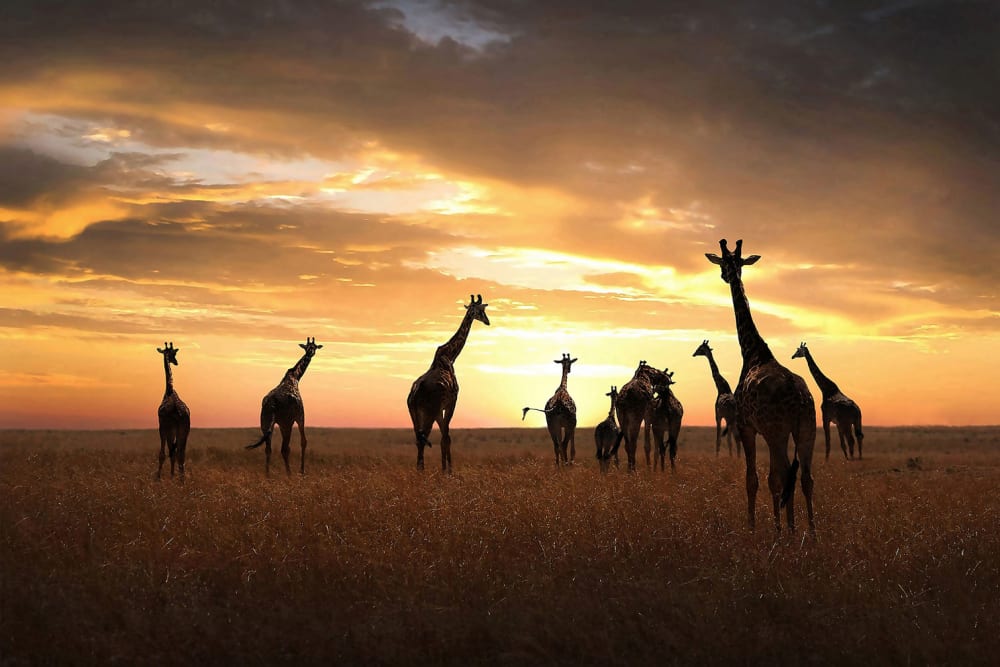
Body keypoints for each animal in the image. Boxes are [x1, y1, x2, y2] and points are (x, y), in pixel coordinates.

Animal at [156, 342, 191, 480]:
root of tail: (177, 410)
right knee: (180, 454)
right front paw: (172, 475)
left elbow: (165, 453)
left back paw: (160, 477)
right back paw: (181, 479)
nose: (176, 362)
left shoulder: (162, 426)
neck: (170, 390)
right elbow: (173, 452)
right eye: (173, 354)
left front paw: (160, 477)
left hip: (168, 428)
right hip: (185, 429)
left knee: (166, 453)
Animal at [246, 337, 322, 475]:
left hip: (265, 423)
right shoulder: (299, 416)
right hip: (286, 423)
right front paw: (302, 472)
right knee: (284, 448)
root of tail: (272, 404)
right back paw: (289, 474)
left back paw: (268, 475)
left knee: (268, 448)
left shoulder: (280, 423)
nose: (310, 352)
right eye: (309, 346)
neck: (295, 377)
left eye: (313, 347)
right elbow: (304, 441)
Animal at [407, 294, 490, 472]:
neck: (450, 356)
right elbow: (447, 436)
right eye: (481, 310)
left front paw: (445, 469)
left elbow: (443, 436)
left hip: (414, 413)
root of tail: (414, 394)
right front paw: (448, 471)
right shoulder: (452, 402)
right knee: (424, 437)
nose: (488, 321)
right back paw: (423, 471)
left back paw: (419, 471)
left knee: (419, 438)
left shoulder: (440, 409)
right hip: (428, 412)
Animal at [706, 239, 816, 532]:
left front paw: (754, 528)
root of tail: (800, 399)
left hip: (776, 431)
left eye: (725, 263)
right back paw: (811, 534)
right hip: (807, 430)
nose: (724, 276)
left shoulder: (747, 427)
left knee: (784, 475)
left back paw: (789, 533)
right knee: (806, 479)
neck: (753, 351)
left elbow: (753, 480)